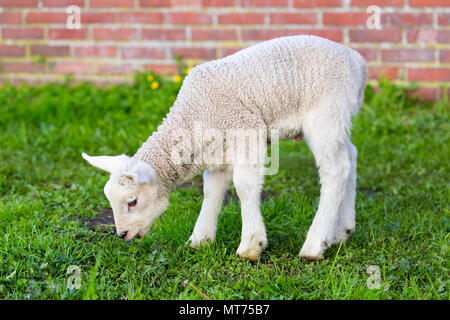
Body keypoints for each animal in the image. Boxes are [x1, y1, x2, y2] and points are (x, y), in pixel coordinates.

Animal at [82, 35, 368, 262]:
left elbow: (244, 186)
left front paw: (251, 246)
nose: (122, 235)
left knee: (335, 169)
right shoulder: (216, 152)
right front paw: (199, 240)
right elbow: (211, 190)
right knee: (350, 156)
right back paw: (342, 231)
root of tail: (357, 61)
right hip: (338, 118)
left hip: (325, 113)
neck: (191, 119)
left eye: (132, 201)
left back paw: (314, 245)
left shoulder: (247, 130)